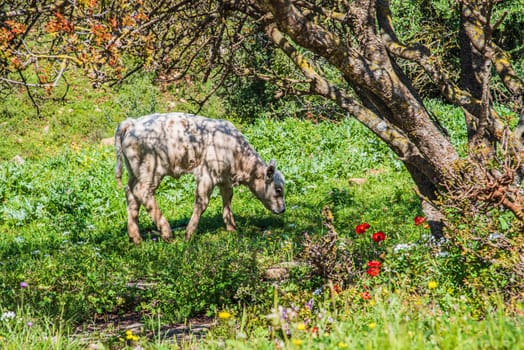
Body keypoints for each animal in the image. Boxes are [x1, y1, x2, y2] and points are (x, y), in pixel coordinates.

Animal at [115, 113, 286, 243]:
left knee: (130, 192)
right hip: (151, 170)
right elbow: (202, 202)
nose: (283, 209)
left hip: (135, 171)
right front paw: (189, 233)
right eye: (278, 190)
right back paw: (166, 232)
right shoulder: (207, 174)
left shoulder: (224, 178)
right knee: (143, 192)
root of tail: (132, 122)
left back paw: (136, 237)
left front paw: (231, 227)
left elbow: (228, 198)